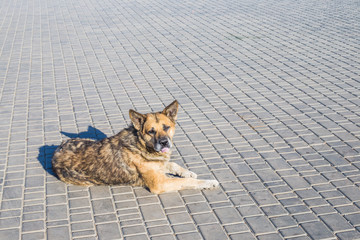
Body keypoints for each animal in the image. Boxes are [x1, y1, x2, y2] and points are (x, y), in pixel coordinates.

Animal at [51, 100, 219, 194]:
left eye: (166, 127)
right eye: (151, 131)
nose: (164, 142)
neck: (141, 145)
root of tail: (55, 151)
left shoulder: (159, 164)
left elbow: (172, 164)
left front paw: (187, 172)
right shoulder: (160, 183)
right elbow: (187, 182)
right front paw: (207, 182)